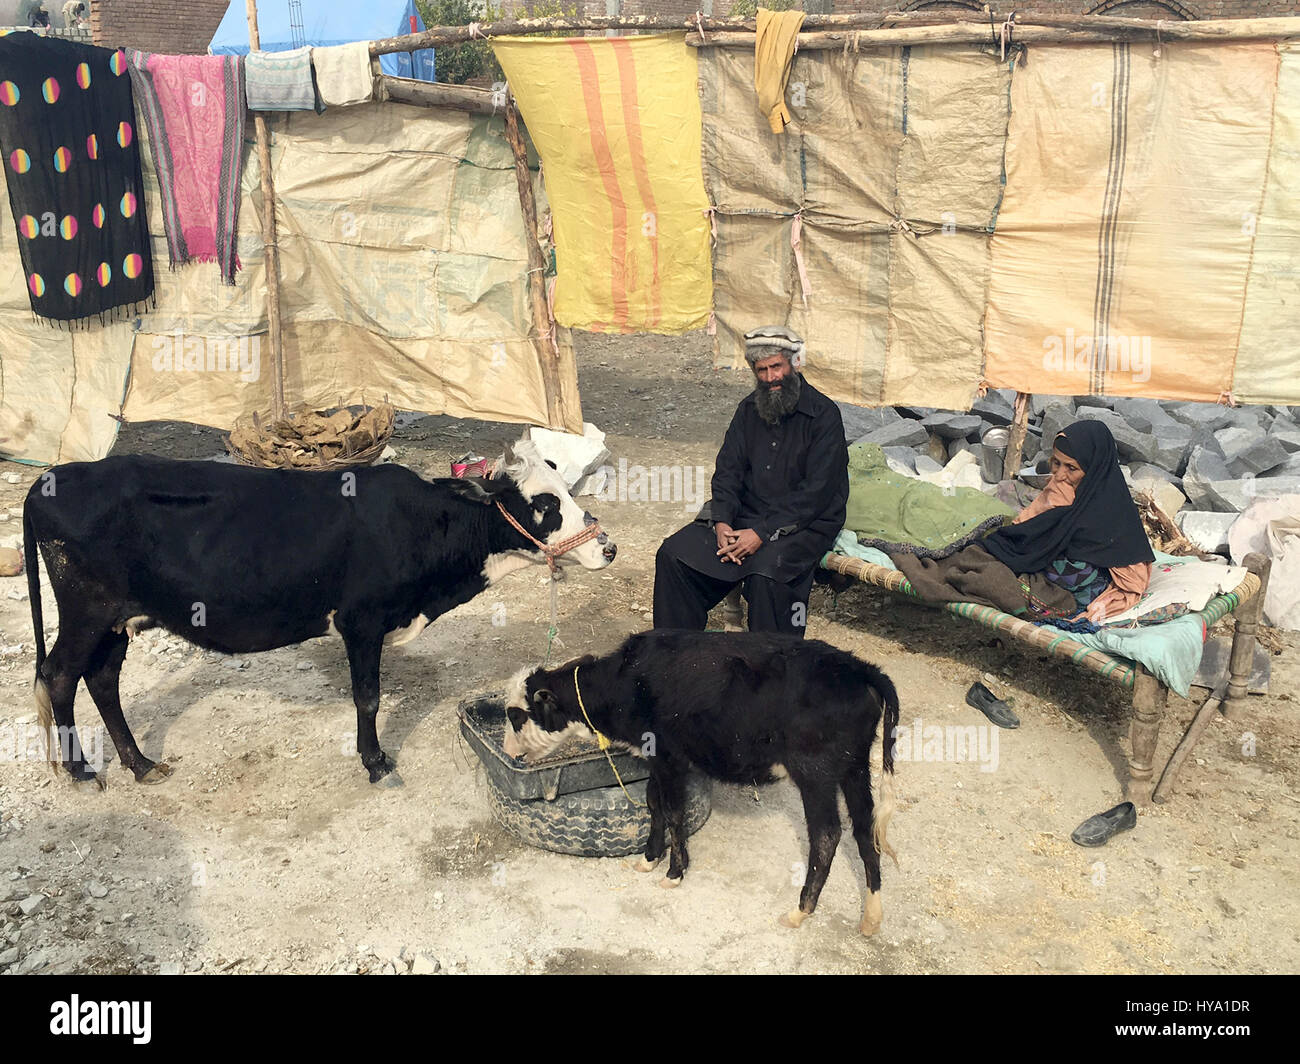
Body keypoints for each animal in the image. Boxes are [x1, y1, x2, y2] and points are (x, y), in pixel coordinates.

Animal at [25, 434, 613, 785]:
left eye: (566, 489)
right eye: (543, 503)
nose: (605, 547)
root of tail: (53, 477)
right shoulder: (361, 622)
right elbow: (368, 698)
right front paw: (375, 763)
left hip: (117, 620)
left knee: (101, 680)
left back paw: (141, 763)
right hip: (86, 612)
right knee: (59, 677)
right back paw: (79, 770)